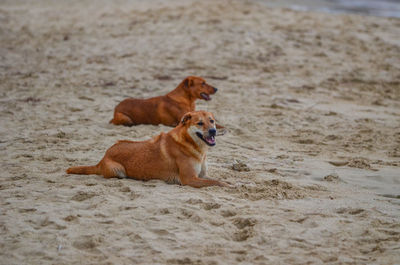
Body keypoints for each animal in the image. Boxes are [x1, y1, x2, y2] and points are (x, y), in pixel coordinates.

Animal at [67, 110, 227, 187]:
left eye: (212, 121)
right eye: (200, 123)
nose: (213, 131)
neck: (190, 142)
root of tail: (102, 159)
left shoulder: (201, 176)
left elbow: (217, 180)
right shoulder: (190, 179)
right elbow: (217, 183)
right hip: (118, 171)